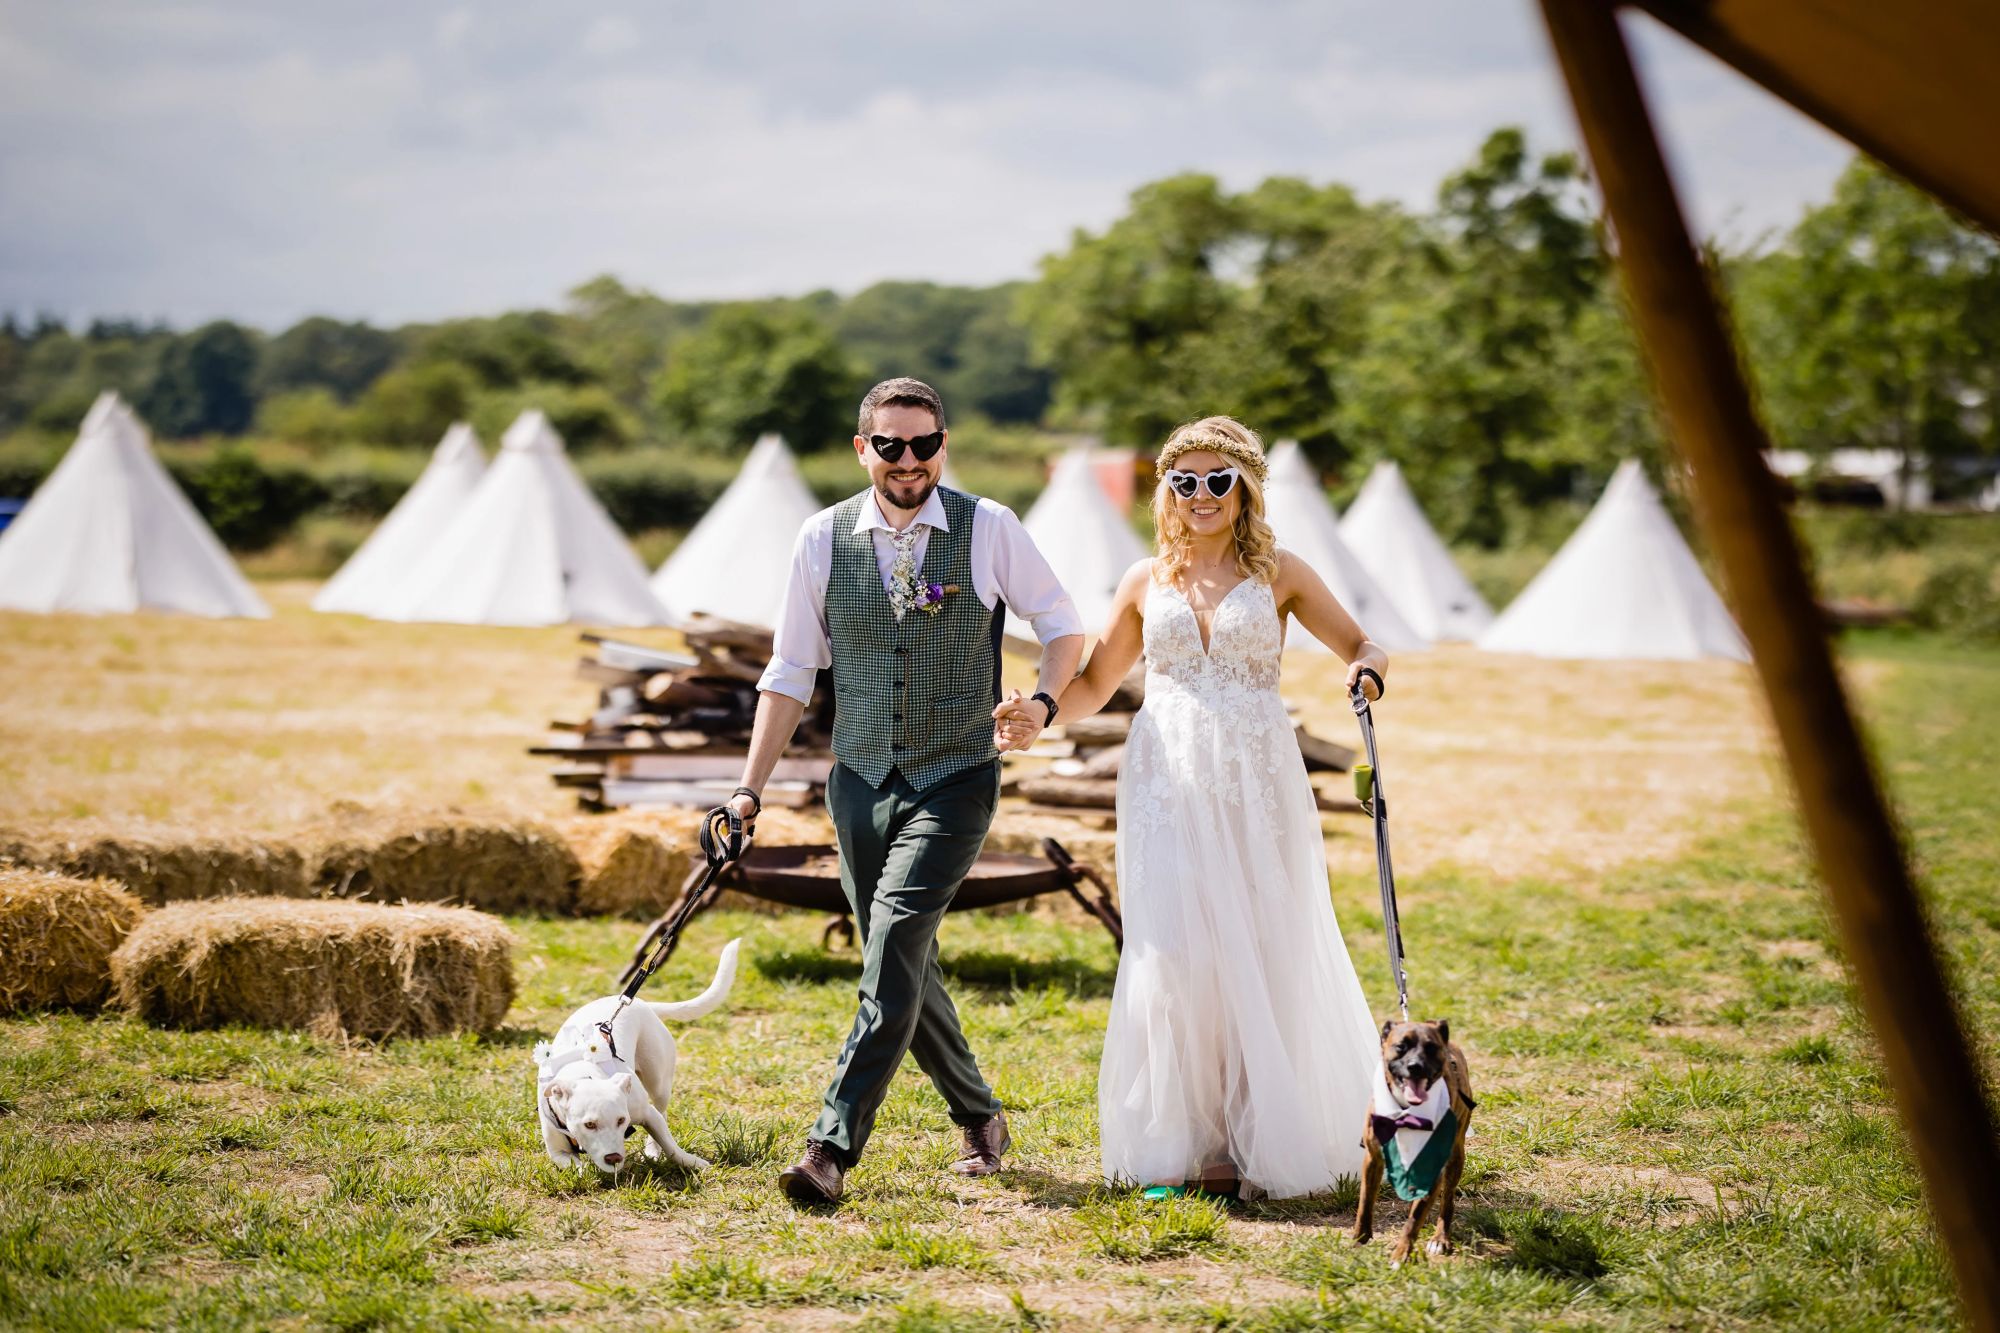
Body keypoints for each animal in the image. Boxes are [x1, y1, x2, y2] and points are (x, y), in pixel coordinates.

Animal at [536, 940, 740, 1168]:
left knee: (661, 1111)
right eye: (589, 1124)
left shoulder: (646, 1113)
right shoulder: (558, 1152)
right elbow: (577, 1166)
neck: (581, 1072)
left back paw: (652, 1150)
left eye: (621, 1120)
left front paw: (693, 1163)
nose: (614, 1158)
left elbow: (670, 1145)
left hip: (658, 1083)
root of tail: (643, 1004)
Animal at [1352, 1016, 1480, 1256]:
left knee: (1447, 1200)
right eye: (1401, 1047)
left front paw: (1401, 1254)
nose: (1416, 1066)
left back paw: (1440, 1237)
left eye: (1431, 1048)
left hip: (1455, 1155)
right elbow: (1365, 1202)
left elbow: (1415, 1220)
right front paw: (1359, 1239)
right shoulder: (1373, 1159)